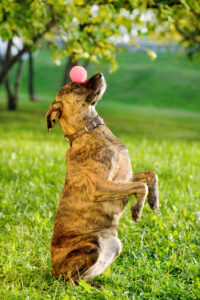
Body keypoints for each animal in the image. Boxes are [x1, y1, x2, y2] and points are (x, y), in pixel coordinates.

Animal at [46, 71, 159, 282]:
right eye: (75, 85)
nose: (100, 74)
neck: (90, 131)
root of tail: (53, 271)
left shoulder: (126, 176)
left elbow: (150, 175)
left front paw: (154, 201)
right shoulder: (101, 186)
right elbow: (141, 187)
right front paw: (137, 210)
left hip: (115, 244)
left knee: (83, 277)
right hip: (92, 245)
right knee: (71, 280)